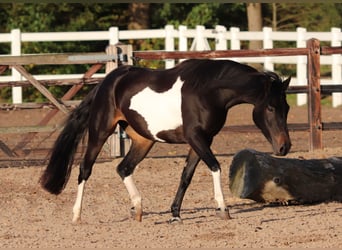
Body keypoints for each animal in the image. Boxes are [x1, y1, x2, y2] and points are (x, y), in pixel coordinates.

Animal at [40, 59, 292, 225]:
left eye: (287, 107)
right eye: (271, 108)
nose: (284, 147)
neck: (208, 90)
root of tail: (108, 82)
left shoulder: (202, 140)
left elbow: (186, 176)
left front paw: (175, 214)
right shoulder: (195, 137)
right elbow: (215, 166)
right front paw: (223, 209)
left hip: (143, 140)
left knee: (123, 168)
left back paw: (138, 208)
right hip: (100, 132)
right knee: (85, 169)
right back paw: (77, 215)